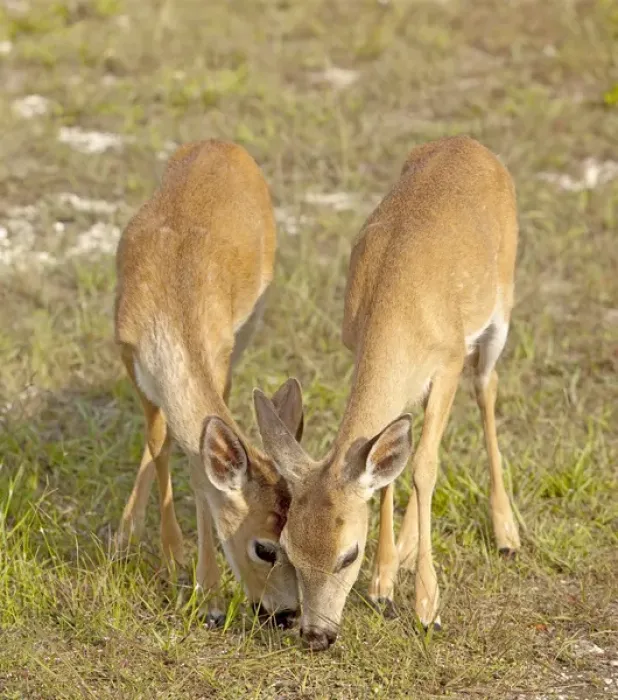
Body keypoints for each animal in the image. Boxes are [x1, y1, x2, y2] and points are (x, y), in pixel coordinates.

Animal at [114, 139, 304, 628]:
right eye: (265, 547)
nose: (287, 615)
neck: (173, 308)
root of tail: (226, 144)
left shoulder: (219, 356)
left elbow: (200, 473)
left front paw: (209, 595)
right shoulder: (129, 357)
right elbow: (161, 443)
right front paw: (170, 556)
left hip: (249, 323)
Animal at [252, 135, 520, 651]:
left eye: (348, 555)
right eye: (287, 550)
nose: (315, 635)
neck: (397, 306)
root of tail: (472, 143)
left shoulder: (449, 359)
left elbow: (424, 467)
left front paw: (428, 608)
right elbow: (387, 470)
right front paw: (383, 585)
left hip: (500, 309)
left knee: (487, 388)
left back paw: (507, 533)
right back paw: (410, 550)